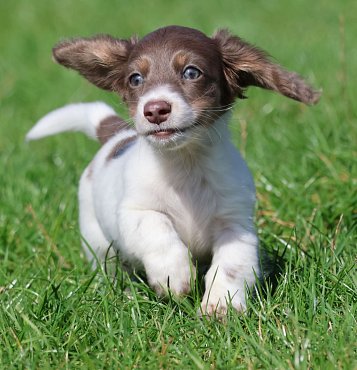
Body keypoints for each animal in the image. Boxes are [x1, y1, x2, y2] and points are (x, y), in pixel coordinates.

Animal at [26, 25, 318, 316]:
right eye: (135, 78)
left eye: (191, 72)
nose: (155, 110)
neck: (185, 164)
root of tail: (115, 137)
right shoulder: (135, 211)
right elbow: (159, 230)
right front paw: (173, 276)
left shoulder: (235, 223)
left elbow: (231, 264)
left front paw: (220, 305)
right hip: (97, 241)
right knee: (112, 271)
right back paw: (126, 295)